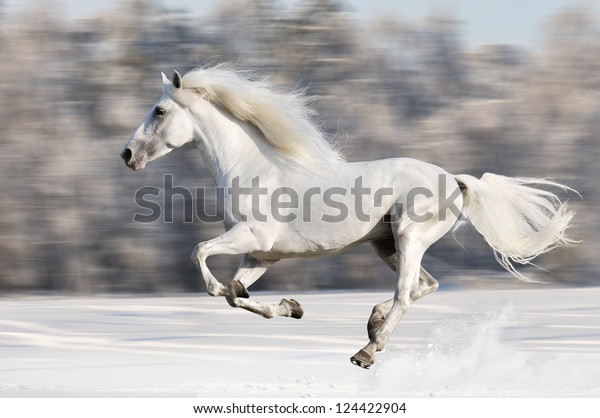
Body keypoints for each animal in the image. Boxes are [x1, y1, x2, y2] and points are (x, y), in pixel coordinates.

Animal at [119, 65, 576, 370]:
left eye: (159, 111)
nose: (126, 155)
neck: (252, 168)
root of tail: (455, 180)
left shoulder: (253, 238)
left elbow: (202, 258)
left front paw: (229, 289)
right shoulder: (262, 255)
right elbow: (237, 295)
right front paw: (291, 307)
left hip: (409, 238)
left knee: (406, 293)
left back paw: (366, 351)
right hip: (386, 245)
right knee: (424, 286)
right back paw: (372, 325)